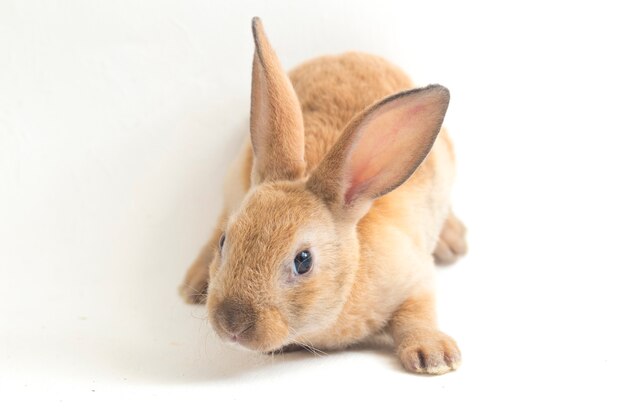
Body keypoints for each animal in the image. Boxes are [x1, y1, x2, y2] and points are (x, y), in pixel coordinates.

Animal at [178, 17, 466, 374]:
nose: (231, 322)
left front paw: (435, 356)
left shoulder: (415, 278)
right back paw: (191, 286)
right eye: (224, 241)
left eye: (303, 261)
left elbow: (418, 314)